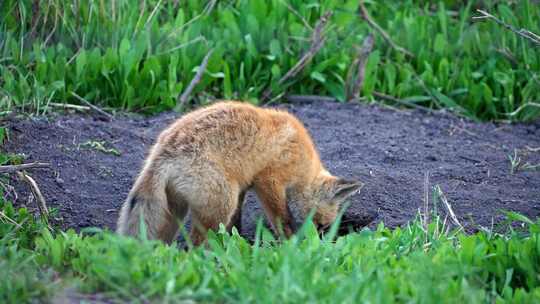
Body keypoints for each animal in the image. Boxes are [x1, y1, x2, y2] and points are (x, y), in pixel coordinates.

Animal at [116, 101, 364, 246]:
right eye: (321, 224)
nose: (320, 245)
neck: (303, 159)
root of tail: (162, 153)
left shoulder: (244, 186)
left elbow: (236, 221)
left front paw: (236, 240)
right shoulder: (269, 180)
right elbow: (281, 217)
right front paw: (290, 243)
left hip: (177, 211)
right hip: (221, 203)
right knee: (196, 244)